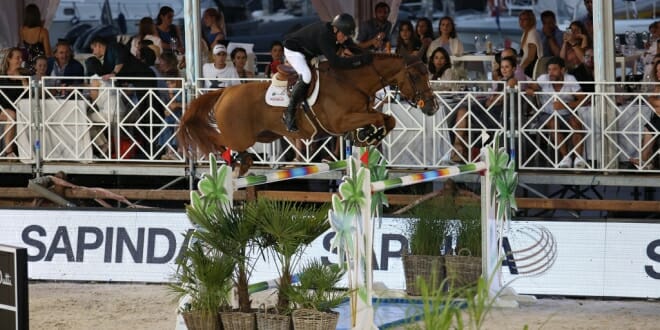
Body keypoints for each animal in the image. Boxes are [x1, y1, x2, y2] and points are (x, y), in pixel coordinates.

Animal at [179, 53, 438, 173]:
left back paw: (242, 161)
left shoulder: (362, 112)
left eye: (428, 74)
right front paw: (368, 134)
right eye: (415, 76)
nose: (432, 106)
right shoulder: (340, 122)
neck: (352, 82)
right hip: (240, 136)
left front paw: (366, 136)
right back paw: (233, 159)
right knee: (216, 140)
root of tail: (225, 92)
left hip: (265, 135)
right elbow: (379, 118)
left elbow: (388, 119)